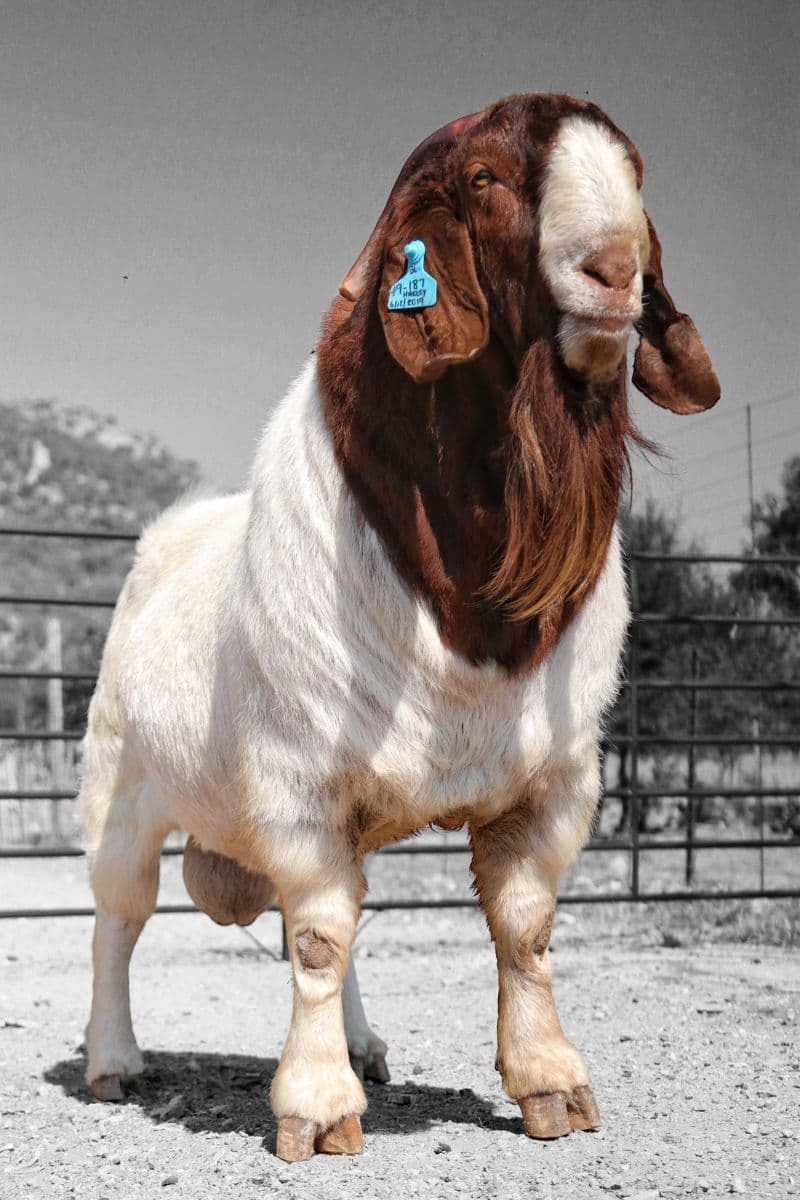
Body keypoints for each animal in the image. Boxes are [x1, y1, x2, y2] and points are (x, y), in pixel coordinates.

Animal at [80, 93, 719, 1162]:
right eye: (485, 180)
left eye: (635, 173)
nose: (615, 270)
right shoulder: (300, 783)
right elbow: (317, 938)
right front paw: (314, 1108)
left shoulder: (554, 784)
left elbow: (521, 930)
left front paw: (551, 1084)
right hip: (119, 794)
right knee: (117, 925)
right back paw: (112, 1061)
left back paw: (361, 1043)